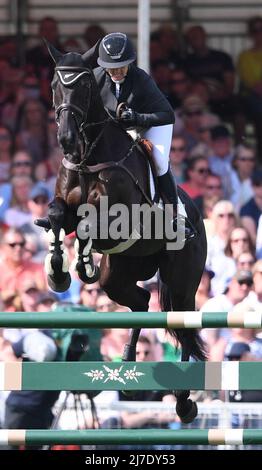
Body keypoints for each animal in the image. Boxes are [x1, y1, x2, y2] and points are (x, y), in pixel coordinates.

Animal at [38, 44, 207, 424]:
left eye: (85, 86)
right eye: (55, 85)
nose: (65, 140)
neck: (88, 157)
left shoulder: (119, 222)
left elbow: (88, 226)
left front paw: (81, 264)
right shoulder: (64, 208)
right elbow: (57, 217)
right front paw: (58, 273)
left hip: (182, 279)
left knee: (184, 325)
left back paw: (183, 401)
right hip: (117, 275)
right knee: (141, 302)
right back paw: (129, 367)